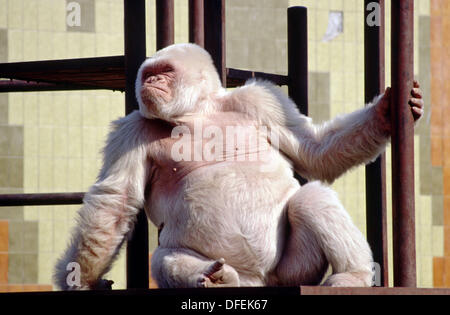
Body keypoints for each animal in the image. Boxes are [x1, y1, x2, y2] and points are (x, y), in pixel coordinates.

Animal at [54, 43, 424, 290]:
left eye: (165, 73)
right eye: (149, 73)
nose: (149, 83)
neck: (196, 113)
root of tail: (257, 282)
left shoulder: (258, 100)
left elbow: (314, 149)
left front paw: (384, 113)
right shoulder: (131, 131)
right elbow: (115, 203)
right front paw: (81, 279)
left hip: (293, 272)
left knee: (311, 199)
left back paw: (353, 275)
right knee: (165, 257)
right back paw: (216, 278)